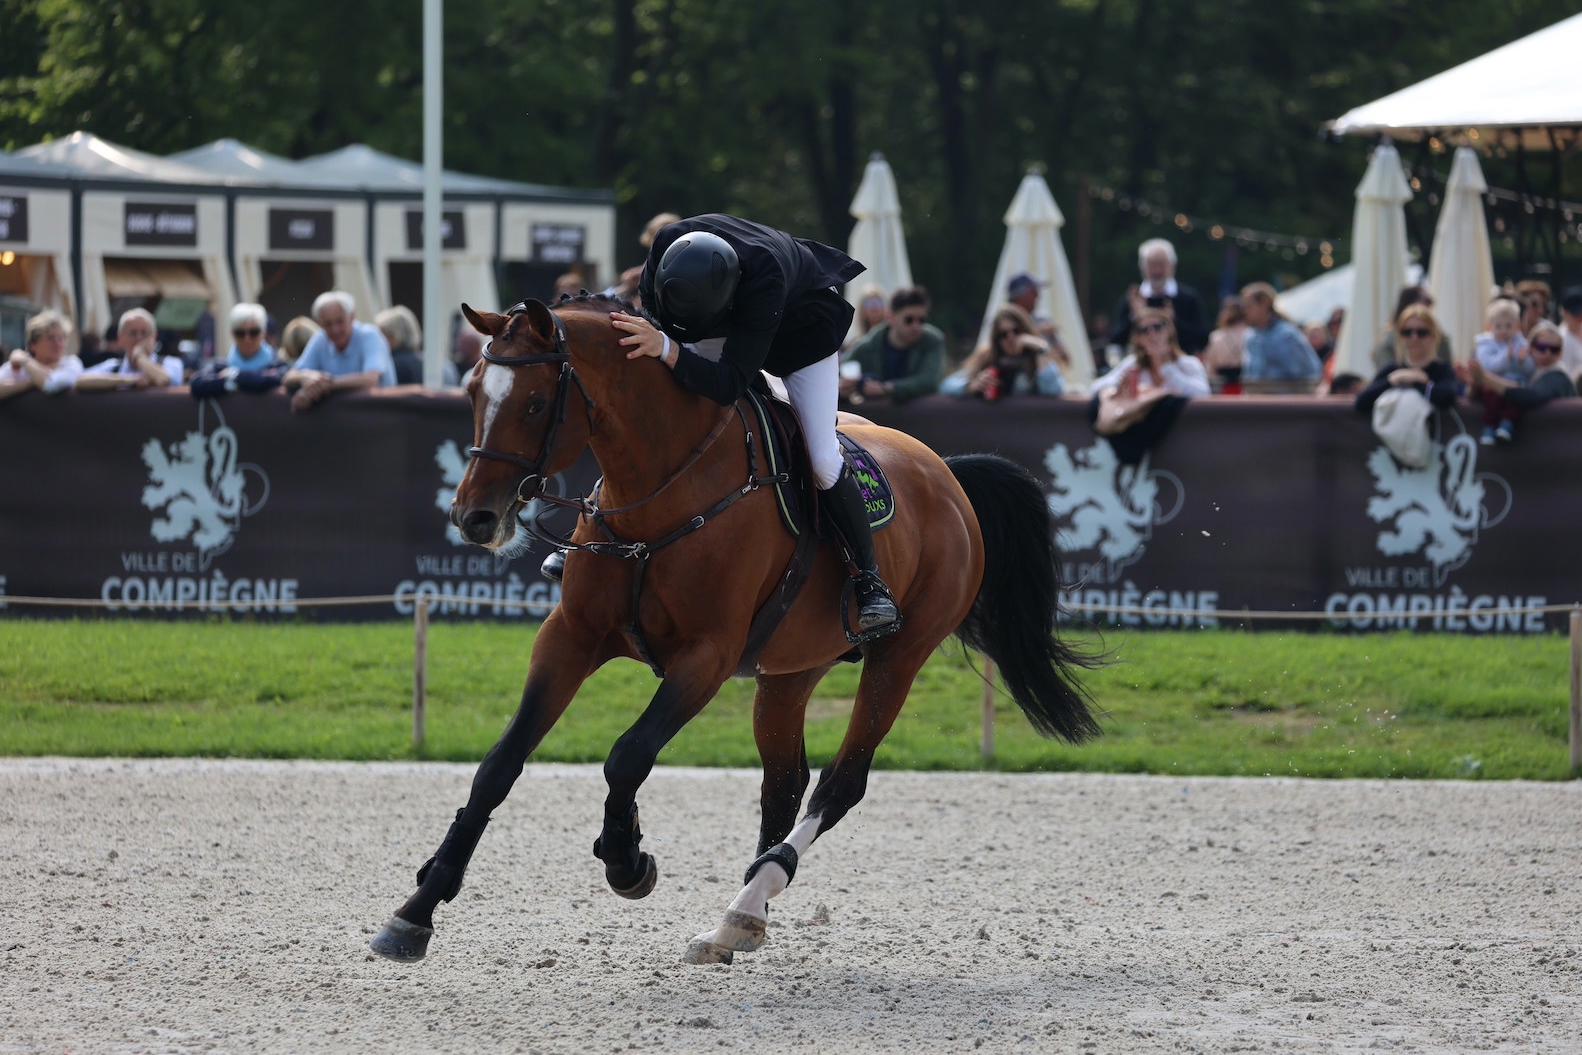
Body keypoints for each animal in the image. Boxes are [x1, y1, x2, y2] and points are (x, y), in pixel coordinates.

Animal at [370, 291, 1094, 968]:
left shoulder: (706, 658)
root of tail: (947, 474)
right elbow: (500, 765)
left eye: (534, 402)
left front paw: (626, 858)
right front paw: (416, 910)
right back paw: (740, 920)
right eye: (472, 393)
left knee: (840, 783)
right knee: (785, 781)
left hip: (899, 657)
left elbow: (627, 755)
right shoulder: (571, 637)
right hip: (790, 670)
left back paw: (748, 897)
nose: (475, 518)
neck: (658, 493)